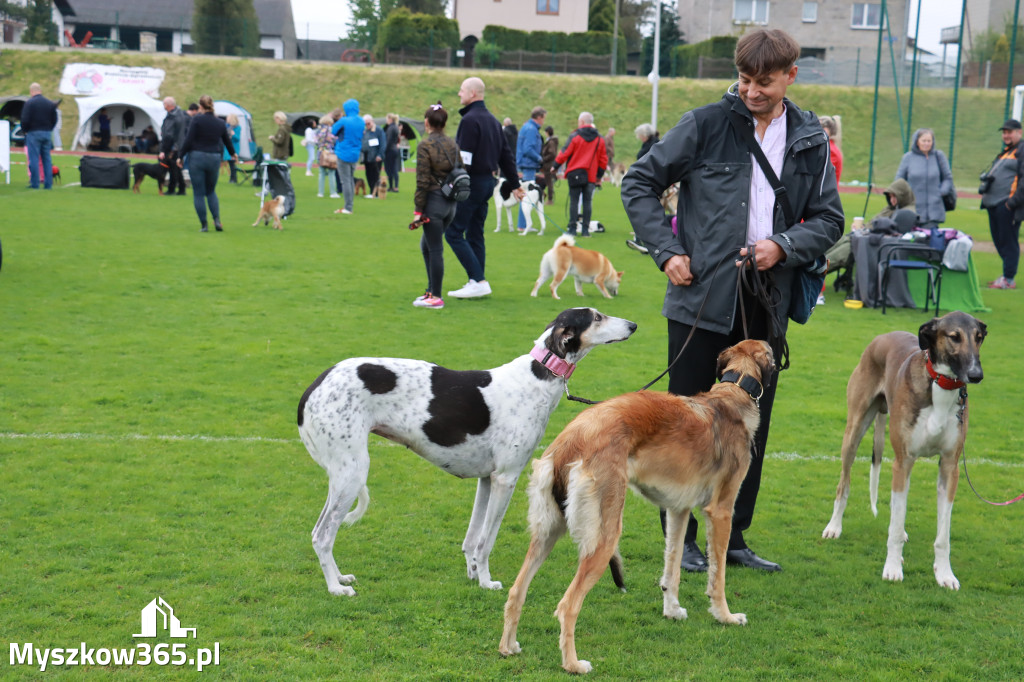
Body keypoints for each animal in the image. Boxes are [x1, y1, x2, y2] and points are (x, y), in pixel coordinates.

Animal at [296, 305, 630, 593]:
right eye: (597, 317)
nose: (634, 325)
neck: (536, 376)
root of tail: (313, 387)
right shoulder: (506, 479)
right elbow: (486, 541)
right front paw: (486, 581)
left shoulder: (486, 479)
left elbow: (472, 539)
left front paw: (473, 574)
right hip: (352, 472)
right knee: (323, 536)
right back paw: (336, 588)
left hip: (342, 477)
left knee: (317, 532)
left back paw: (340, 577)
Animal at [499, 337, 770, 671]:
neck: (733, 394)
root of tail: (571, 441)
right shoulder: (720, 510)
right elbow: (717, 575)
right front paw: (726, 616)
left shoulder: (678, 510)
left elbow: (672, 566)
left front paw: (672, 610)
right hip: (604, 536)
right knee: (567, 606)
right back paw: (573, 664)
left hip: (547, 531)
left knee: (516, 591)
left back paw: (508, 647)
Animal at [819, 311, 987, 585]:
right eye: (954, 337)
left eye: (979, 337)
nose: (976, 374)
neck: (939, 385)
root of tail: (883, 336)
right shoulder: (904, 460)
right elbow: (895, 529)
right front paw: (893, 569)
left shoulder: (949, 467)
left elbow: (943, 535)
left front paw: (945, 574)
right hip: (854, 433)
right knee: (843, 484)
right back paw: (834, 527)